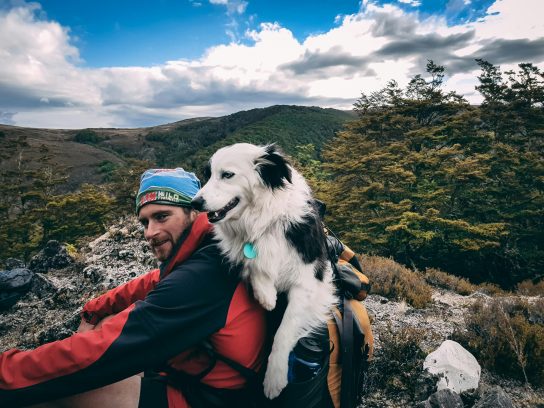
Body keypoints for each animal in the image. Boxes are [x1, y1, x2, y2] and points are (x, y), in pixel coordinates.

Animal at [191, 143, 336, 398]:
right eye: (208, 175)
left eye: (227, 175)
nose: (195, 202)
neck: (263, 221)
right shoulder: (241, 249)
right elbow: (253, 263)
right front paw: (266, 295)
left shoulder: (310, 280)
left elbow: (285, 330)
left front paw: (274, 378)